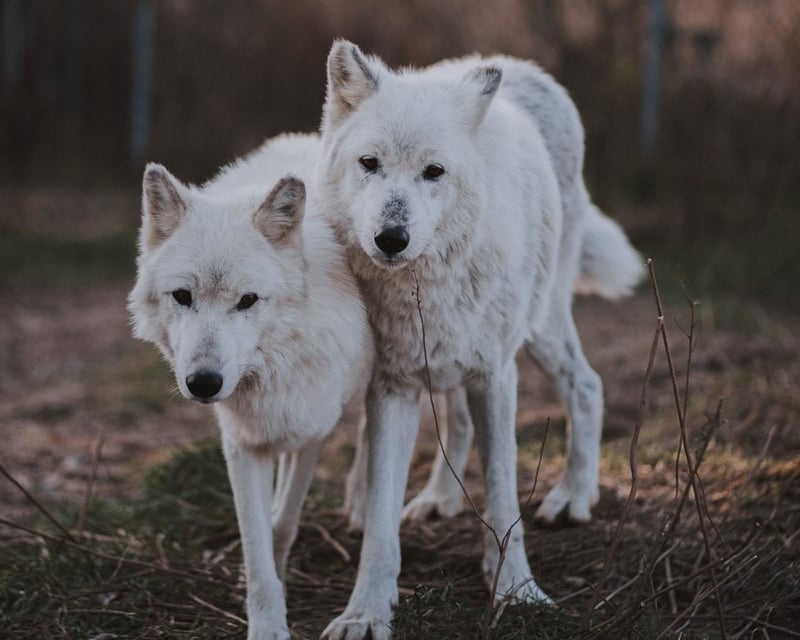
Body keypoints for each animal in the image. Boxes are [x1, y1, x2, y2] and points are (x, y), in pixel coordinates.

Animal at [128, 134, 373, 640]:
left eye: (247, 301)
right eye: (183, 296)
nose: (204, 383)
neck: (268, 368)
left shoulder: (314, 428)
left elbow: (282, 524)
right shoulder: (242, 440)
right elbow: (255, 542)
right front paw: (267, 617)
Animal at [316, 41, 643, 639]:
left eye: (433, 171)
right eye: (369, 163)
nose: (390, 238)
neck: (420, 284)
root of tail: (519, 65)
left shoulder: (496, 376)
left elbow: (502, 493)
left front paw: (517, 590)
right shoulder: (393, 384)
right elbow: (381, 522)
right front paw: (366, 611)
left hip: (540, 326)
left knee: (586, 384)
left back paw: (572, 496)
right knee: (457, 419)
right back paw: (435, 500)